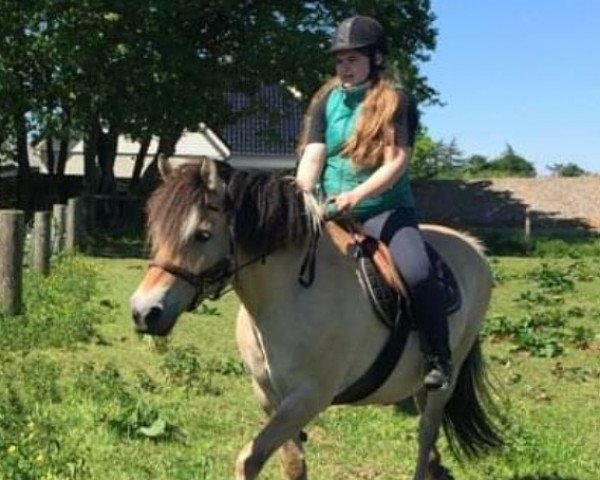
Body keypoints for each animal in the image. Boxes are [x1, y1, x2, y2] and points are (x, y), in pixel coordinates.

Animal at [130, 156, 502, 478]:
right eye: (156, 231)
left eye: (202, 234)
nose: (144, 312)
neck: (289, 295)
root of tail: (472, 246)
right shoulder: (269, 394)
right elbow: (292, 463)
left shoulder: (309, 397)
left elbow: (249, 459)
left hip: (446, 377)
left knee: (426, 431)